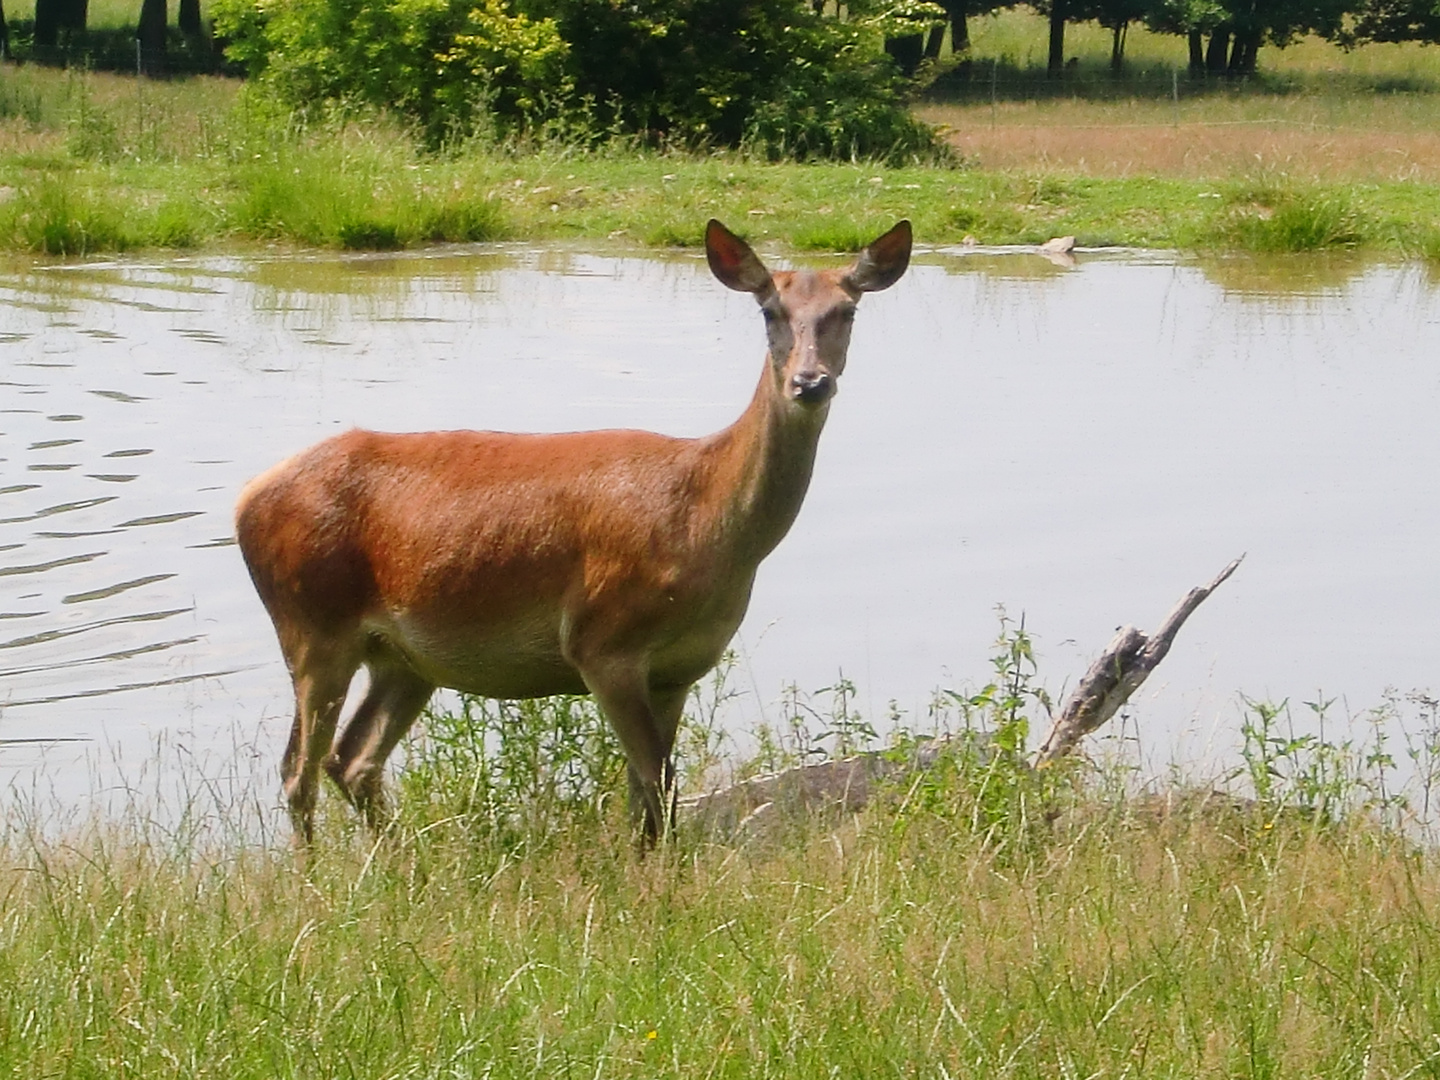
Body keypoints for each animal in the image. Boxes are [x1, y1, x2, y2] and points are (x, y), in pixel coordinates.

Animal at [234, 220, 910, 846]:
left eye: (847, 310)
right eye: (770, 310)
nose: (810, 382)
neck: (707, 525)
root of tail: (246, 500)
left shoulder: (680, 667)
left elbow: (649, 795)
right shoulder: (600, 640)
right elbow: (655, 784)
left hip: (402, 657)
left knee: (351, 759)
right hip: (312, 625)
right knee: (298, 769)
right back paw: (316, 878)